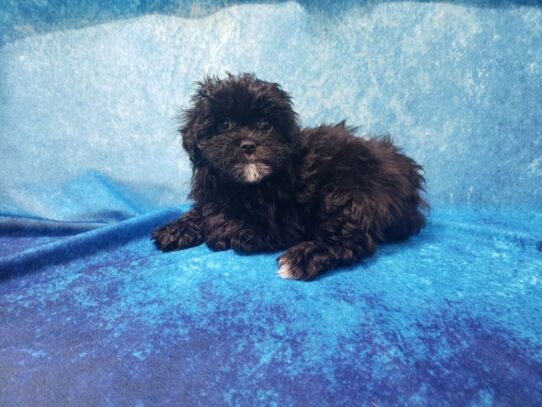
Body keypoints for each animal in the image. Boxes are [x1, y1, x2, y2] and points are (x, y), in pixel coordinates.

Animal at [153, 72, 430, 280]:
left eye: (266, 126)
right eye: (224, 125)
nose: (249, 145)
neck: (244, 184)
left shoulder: (287, 221)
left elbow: (234, 225)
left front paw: (224, 231)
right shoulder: (213, 194)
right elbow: (204, 211)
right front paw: (175, 229)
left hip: (349, 193)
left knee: (353, 239)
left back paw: (301, 259)